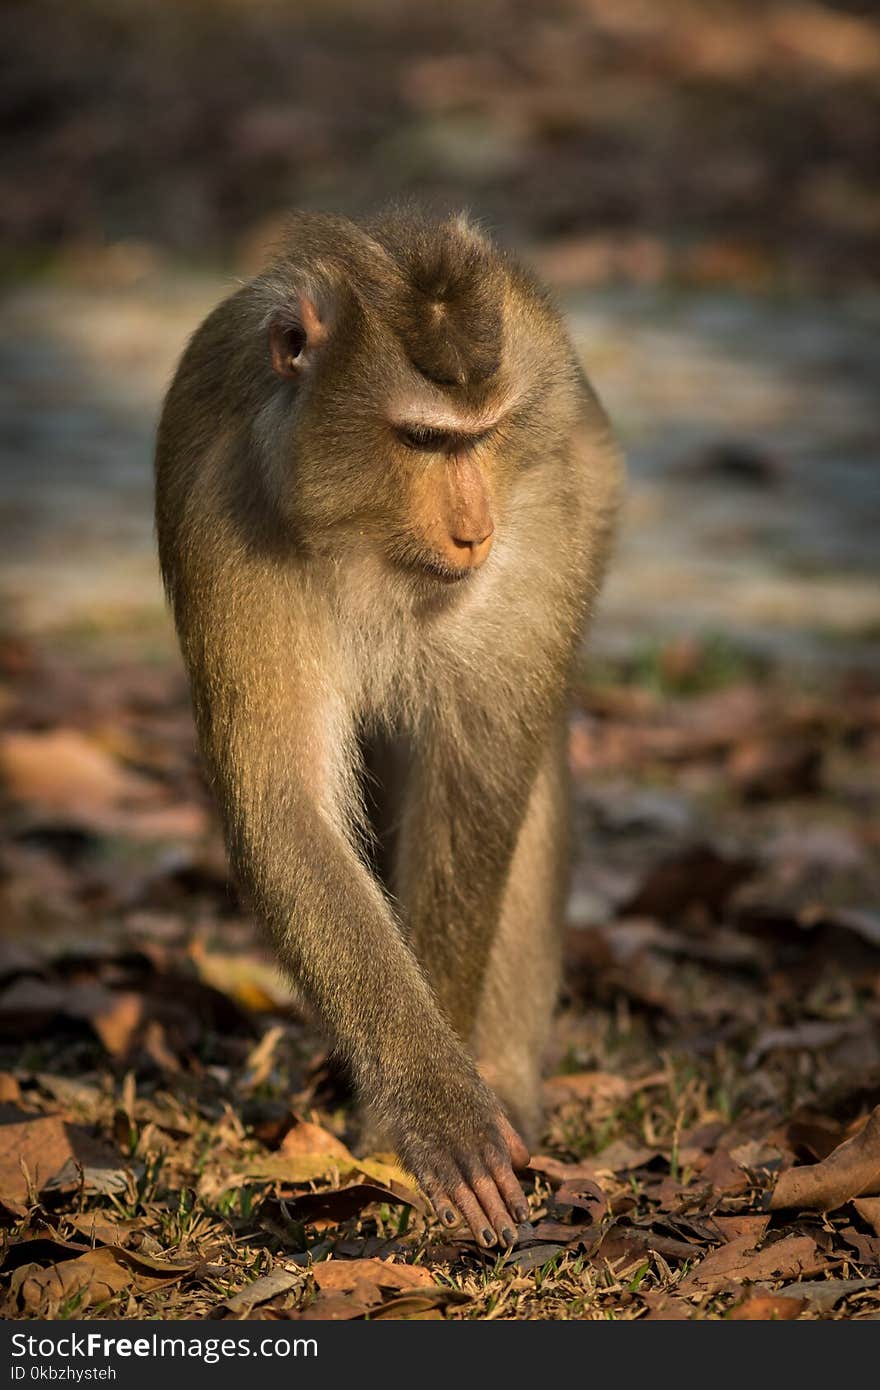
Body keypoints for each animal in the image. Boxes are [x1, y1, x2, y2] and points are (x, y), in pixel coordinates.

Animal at [154, 208, 620, 1251]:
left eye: (482, 437)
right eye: (420, 438)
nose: (474, 530)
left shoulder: (545, 516)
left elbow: (480, 772)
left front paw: (437, 1109)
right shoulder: (220, 507)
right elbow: (285, 806)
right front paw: (433, 1100)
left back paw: (510, 1082)